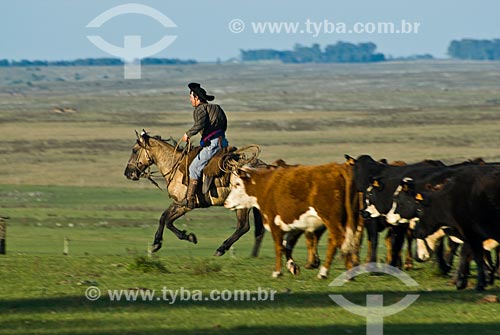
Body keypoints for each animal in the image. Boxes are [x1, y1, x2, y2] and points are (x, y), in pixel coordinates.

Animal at [124, 131, 266, 258]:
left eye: (134, 150)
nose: (128, 173)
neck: (175, 166)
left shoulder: (186, 205)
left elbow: (168, 221)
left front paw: (189, 237)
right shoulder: (177, 202)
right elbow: (163, 217)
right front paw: (156, 243)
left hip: (243, 206)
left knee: (243, 227)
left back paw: (221, 249)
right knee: (258, 230)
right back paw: (253, 255)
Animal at [224, 162, 360, 278]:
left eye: (237, 184)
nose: (226, 202)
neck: (265, 186)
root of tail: (338, 168)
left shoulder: (274, 223)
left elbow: (279, 247)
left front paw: (277, 272)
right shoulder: (295, 225)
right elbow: (287, 245)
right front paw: (293, 267)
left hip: (331, 219)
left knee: (339, 240)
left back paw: (343, 273)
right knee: (336, 242)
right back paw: (327, 272)